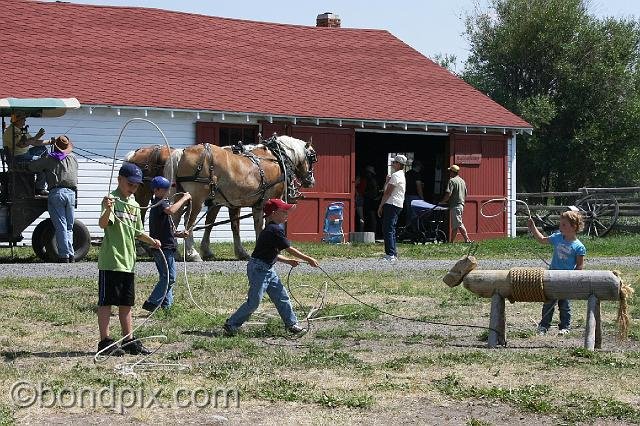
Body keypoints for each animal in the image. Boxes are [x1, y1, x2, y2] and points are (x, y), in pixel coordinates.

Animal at [164, 136, 316, 260]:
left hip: (181, 196)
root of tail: (182, 152)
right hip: (197, 199)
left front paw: (242, 252)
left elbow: (241, 226)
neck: (277, 159)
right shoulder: (270, 200)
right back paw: (192, 253)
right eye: (312, 157)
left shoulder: (246, 204)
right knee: (187, 222)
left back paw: (176, 253)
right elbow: (264, 225)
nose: (311, 181)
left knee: (175, 217)